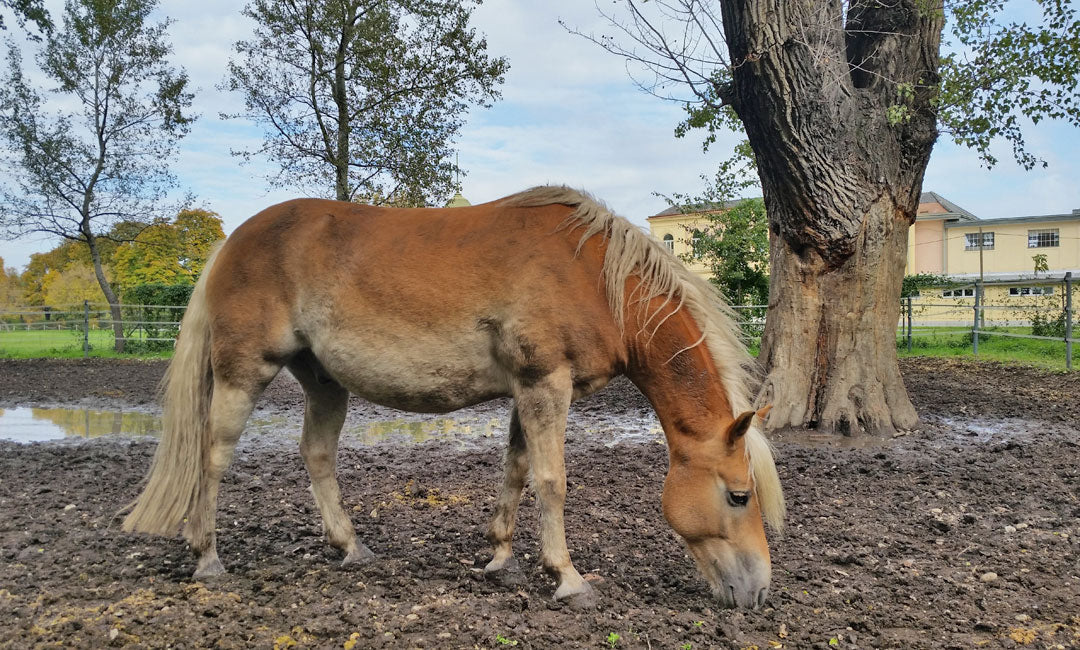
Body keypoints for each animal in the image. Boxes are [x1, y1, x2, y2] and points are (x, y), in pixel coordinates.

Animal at [121, 186, 785, 609]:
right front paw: (567, 578)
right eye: (737, 495)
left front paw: (499, 557)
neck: (596, 279)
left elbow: (516, 470)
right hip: (244, 373)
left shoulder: (528, 391)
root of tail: (232, 242)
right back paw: (207, 557)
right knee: (214, 457)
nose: (759, 592)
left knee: (317, 455)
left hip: (324, 383)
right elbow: (551, 480)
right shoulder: (547, 384)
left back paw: (350, 547)